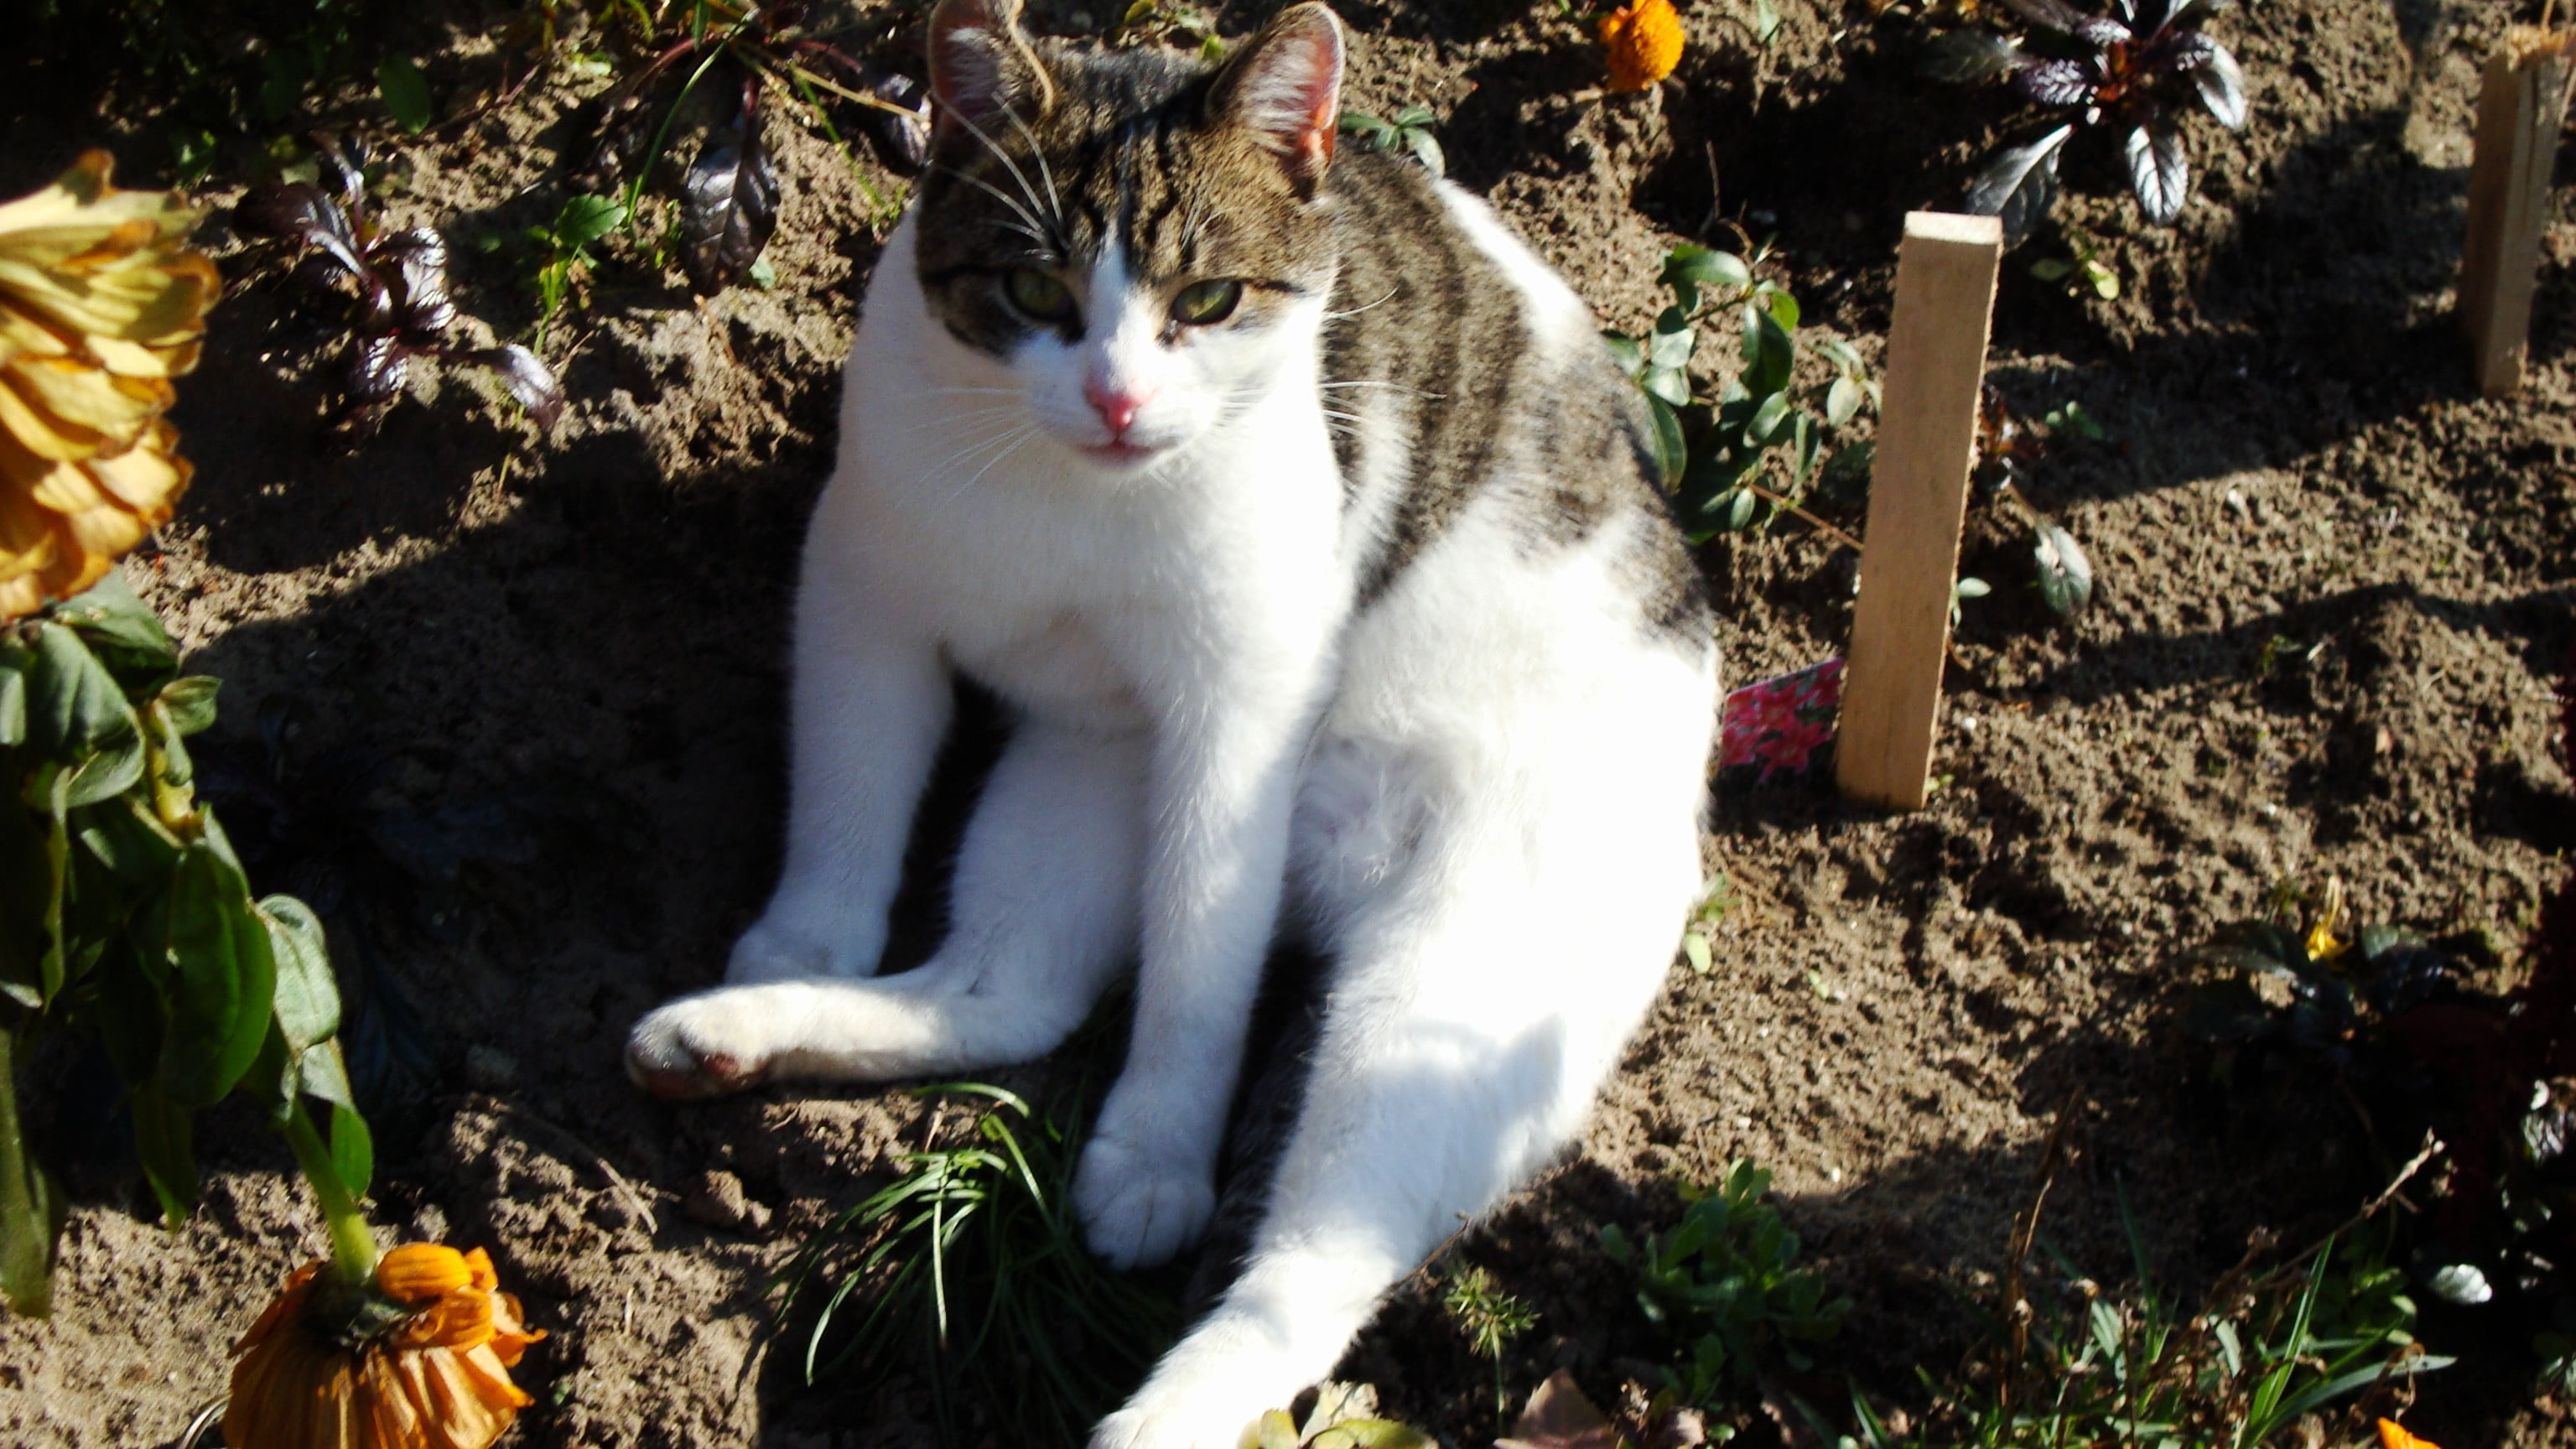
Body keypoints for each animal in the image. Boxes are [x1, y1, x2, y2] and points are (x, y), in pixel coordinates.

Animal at [615, 5, 1721, 1433]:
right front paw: (806, 938)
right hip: (1083, 780)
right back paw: (729, 1037)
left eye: (1207, 302)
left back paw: (1163, 1414)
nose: (1118, 401)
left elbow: (1199, 972)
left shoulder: (1237, 717)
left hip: (1446, 999)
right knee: (1007, 996)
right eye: (1034, 295)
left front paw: (1155, 1158)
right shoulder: (864, 583)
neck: (1065, 499)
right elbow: (850, 795)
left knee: (1306, 1275)